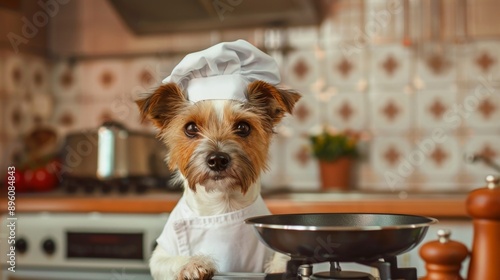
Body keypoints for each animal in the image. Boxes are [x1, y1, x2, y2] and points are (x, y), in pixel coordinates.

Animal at [135, 40, 300, 280]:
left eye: (243, 127)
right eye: (191, 128)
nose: (217, 160)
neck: (222, 206)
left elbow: (283, 257)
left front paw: (280, 267)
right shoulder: (161, 255)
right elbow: (169, 261)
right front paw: (192, 264)